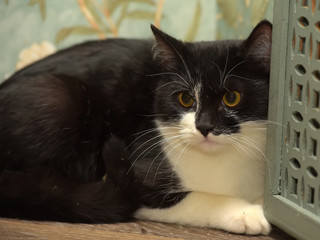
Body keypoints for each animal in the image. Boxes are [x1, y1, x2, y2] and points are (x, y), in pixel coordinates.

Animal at [0, 20, 272, 234]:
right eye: (185, 99)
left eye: (232, 97)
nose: (204, 126)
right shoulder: (142, 172)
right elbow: (195, 199)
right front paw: (247, 214)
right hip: (59, 97)